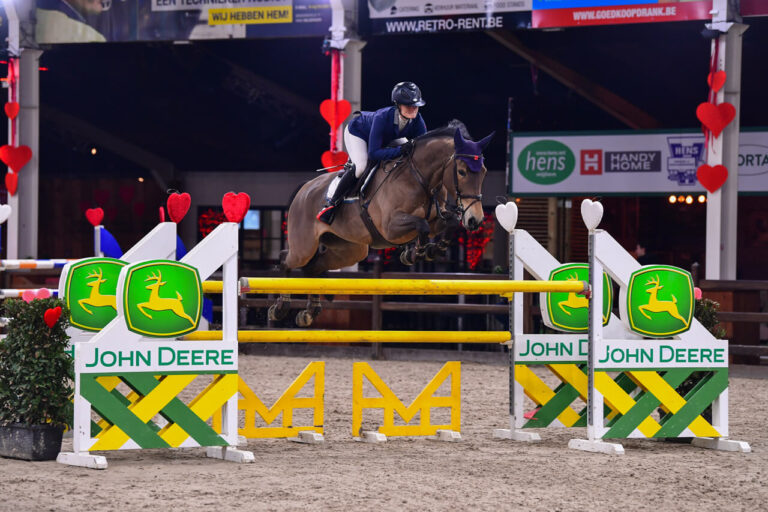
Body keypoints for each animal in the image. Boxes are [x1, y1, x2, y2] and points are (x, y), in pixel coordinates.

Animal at [270, 122, 492, 326]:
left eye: (483, 171)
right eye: (462, 171)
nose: (475, 220)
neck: (420, 178)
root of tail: (304, 189)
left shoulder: (437, 217)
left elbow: (450, 223)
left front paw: (433, 249)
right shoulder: (390, 228)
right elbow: (422, 225)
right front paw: (416, 252)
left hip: (350, 250)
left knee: (314, 268)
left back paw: (309, 312)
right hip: (305, 246)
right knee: (286, 260)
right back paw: (280, 308)